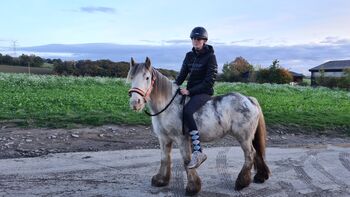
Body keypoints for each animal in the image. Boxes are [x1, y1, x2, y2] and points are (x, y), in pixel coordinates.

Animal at [127, 57, 270, 195]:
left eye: (147, 77)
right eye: (131, 77)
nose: (135, 103)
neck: (168, 105)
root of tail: (249, 99)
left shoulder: (182, 139)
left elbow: (187, 161)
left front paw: (192, 187)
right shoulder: (163, 138)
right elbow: (164, 158)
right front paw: (161, 180)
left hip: (244, 137)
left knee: (250, 154)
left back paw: (241, 183)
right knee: (257, 152)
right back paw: (260, 177)